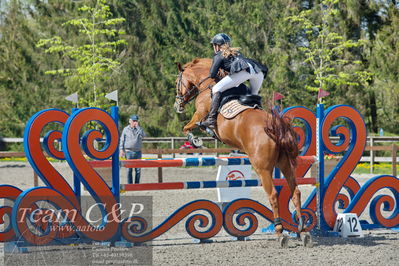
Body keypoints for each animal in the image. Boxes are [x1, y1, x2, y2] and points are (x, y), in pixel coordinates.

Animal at [176, 59, 306, 240]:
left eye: (177, 82)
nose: (178, 104)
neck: (207, 84)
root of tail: (276, 128)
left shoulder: (199, 115)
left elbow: (187, 128)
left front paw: (196, 141)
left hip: (262, 168)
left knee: (273, 195)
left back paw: (280, 230)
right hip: (285, 163)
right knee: (296, 192)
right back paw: (301, 228)